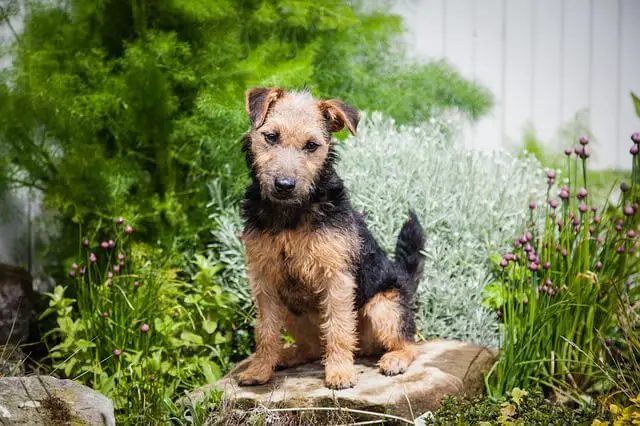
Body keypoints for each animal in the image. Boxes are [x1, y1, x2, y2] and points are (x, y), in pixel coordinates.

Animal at [236, 86, 424, 390]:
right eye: (271, 137)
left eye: (312, 145)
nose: (285, 185)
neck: (290, 214)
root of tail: (405, 280)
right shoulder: (264, 280)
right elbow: (265, 331)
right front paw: (259, 370)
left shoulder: (336, 277)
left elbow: (338, 328)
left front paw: (339, 373)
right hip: (291, 308)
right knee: (312, 348)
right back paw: (285, 356)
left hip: (384, 307)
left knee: (410, 343)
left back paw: (394, 359)